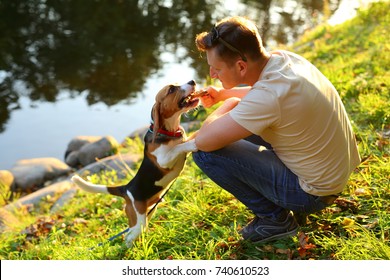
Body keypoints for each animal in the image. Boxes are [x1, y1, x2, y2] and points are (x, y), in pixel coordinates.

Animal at [71, 80, 203, 246]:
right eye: (171, 89)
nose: (192, 81)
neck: (169, 131)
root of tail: (126, 188)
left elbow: (182, 143)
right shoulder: (163, 160)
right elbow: (178, 147)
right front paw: (192, 143)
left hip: (149, 210)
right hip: (138, 217)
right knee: (128, 236)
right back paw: (129, 247)